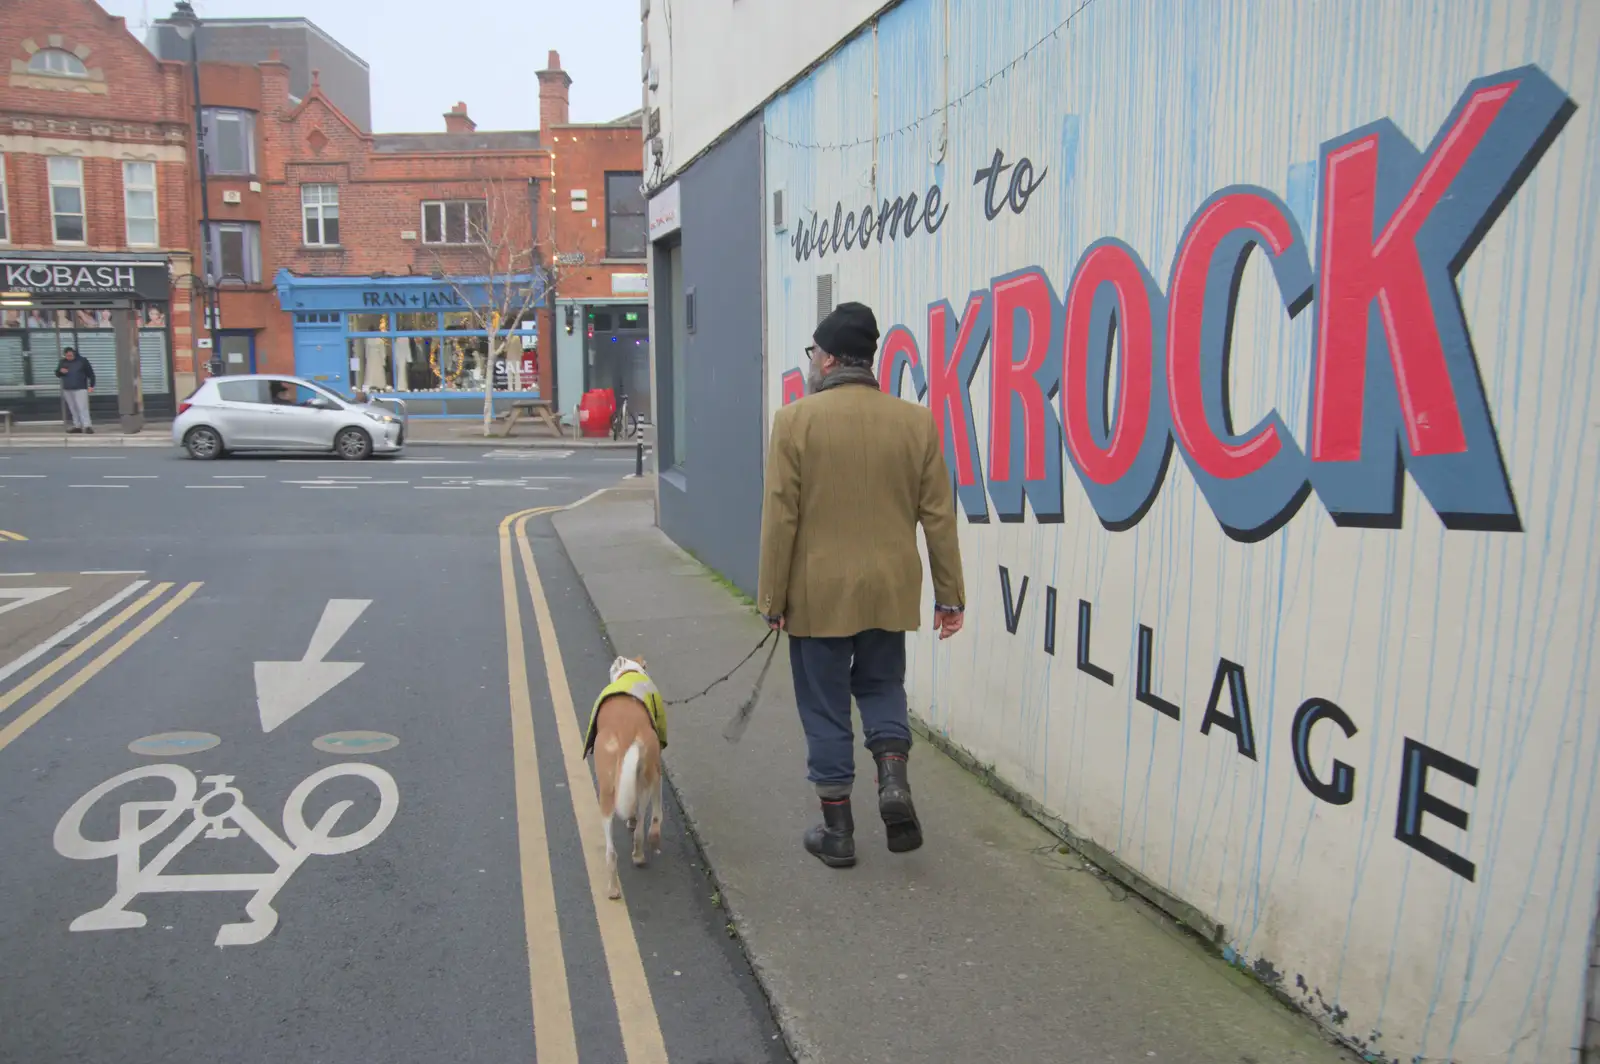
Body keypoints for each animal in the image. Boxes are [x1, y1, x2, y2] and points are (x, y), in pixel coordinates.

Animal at [582, 656, 668, 896]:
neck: (631, 673)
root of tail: (627, 731)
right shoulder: (657, 772)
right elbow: (657, 811)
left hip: (607, 792)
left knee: (611, 852)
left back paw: (613, 889)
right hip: (643, 780)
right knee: (638, 826)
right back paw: (638, 854)